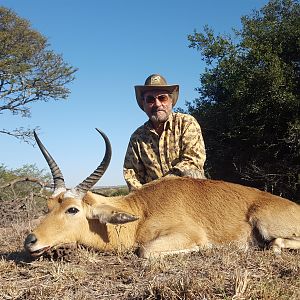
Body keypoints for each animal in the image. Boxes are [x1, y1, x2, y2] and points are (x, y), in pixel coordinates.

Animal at [24, 129, 300, 258]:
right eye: (48, 206)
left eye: (72, 209)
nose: (30, 241)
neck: (141, 213)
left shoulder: (185, 234)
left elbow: (144, 251)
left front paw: (204, 248)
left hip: (264, 224)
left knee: (276, 243)